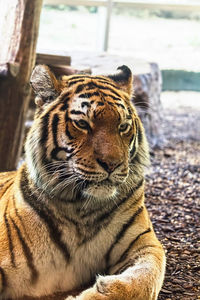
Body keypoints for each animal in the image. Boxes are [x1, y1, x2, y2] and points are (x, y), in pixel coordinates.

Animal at [0, 64, 166, 298]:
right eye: (82, 124)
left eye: (123, 126)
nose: (112, 164)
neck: (82, 209)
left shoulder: (146, 245)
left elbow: (145, 280)